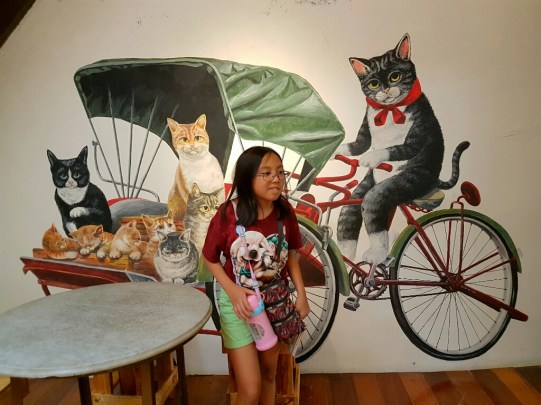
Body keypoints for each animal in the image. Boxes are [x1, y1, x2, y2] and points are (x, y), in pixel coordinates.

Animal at [335, 33, 469, 264]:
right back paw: (345, 257)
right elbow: (359, 144)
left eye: (395, 77)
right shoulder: (365, 129)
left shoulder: (419, 130)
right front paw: (338, 148)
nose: (385, 89)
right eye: (373, 83)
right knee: (348, 213)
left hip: (405, 182)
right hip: (366, 184)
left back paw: (377, 254)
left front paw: (372, 157)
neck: (390, 110)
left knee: (372, 203)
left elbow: (399, 148)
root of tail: (434, 180)